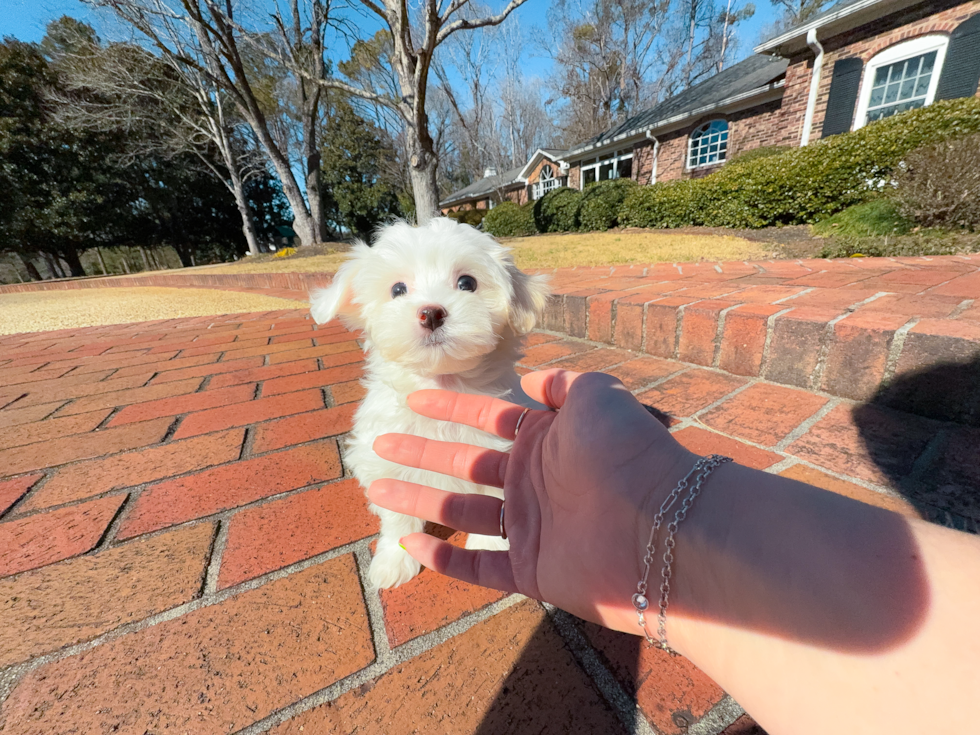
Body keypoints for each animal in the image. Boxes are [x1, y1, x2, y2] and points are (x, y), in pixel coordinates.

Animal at [310, 216, 552, 588]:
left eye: (467, 283)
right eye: (397, 289)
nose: (431, 313)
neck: (443, 384)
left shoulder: (496, 454)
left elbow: (491, 500)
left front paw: (487, 547)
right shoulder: (384, 461)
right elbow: (397, 515)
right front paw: (394, 560)